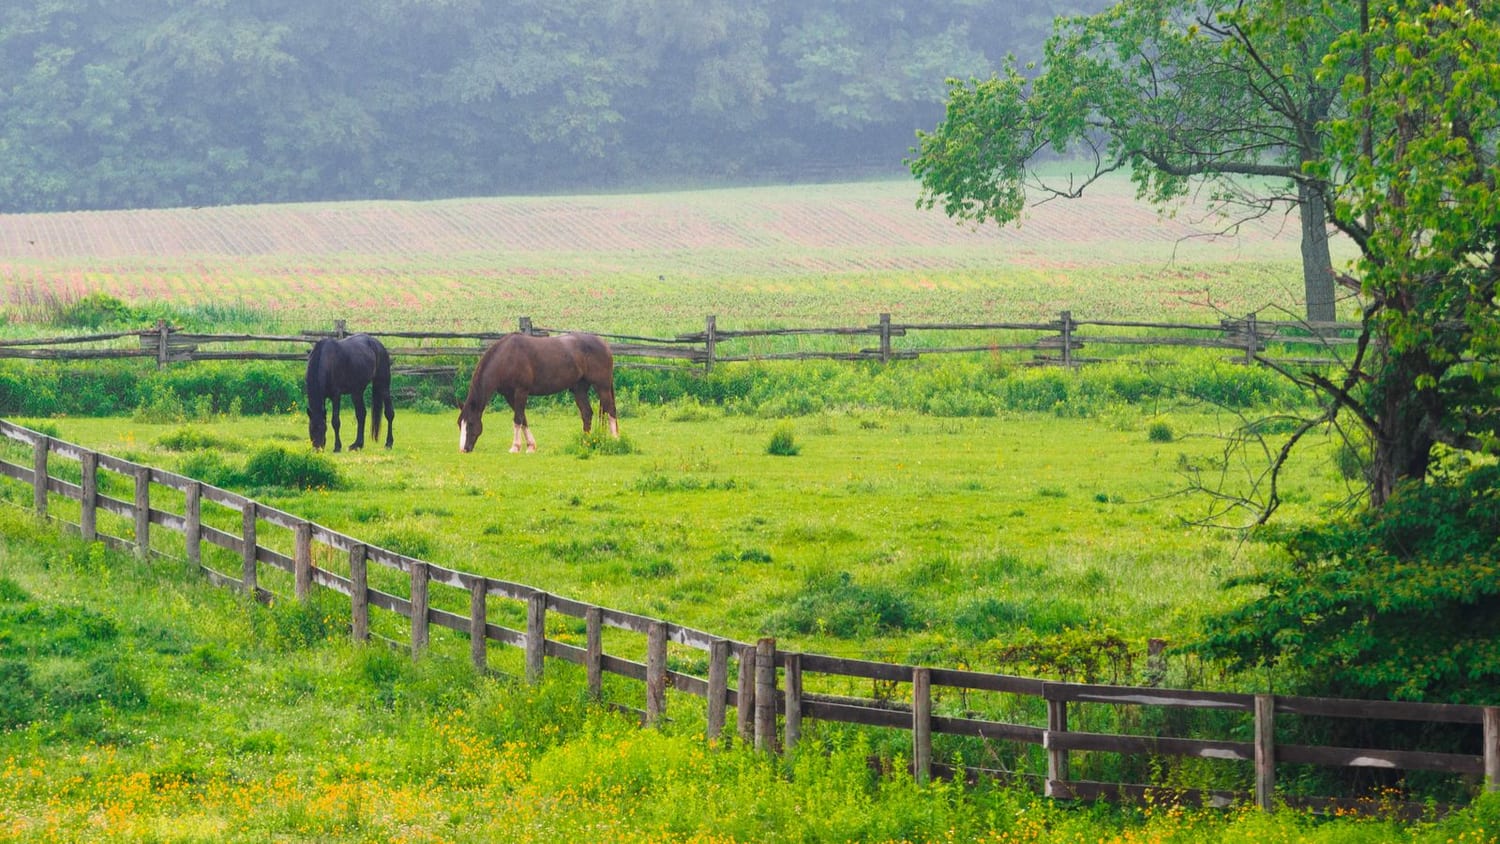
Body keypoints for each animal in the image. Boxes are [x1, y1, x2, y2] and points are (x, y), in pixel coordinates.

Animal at [458, 332, 618, 453]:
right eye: (460, 424)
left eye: (470, 423)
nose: (463, 450)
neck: (506, 358)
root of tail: (604, 344)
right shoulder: (510, 395)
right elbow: (523, 419)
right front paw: (530, 446)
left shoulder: (521, 391)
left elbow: (517, 419)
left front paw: (515, 447)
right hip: (579, 389)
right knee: (587, 413)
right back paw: (585, 442)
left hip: (602, 387)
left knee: (610, 411)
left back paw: (615, 439)